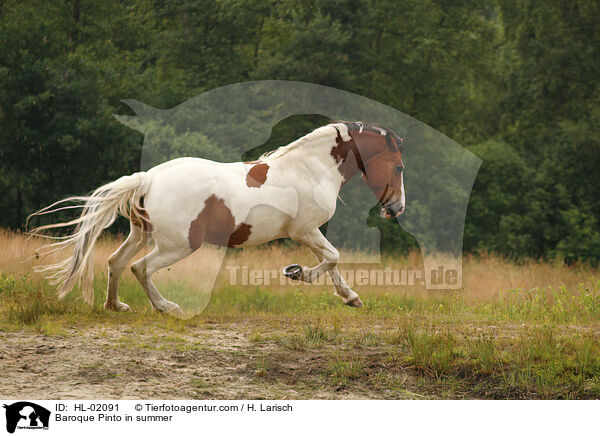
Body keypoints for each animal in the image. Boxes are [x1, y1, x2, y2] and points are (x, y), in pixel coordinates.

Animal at [29, 120, 404, 314]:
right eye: (399, 167)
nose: (396, 208)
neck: (311, 168)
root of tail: (149, 178)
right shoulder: (305, 230)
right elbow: (332, 258)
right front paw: (297, 272)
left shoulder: (309, 232)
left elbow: (332, 262)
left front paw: (351, 298)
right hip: (178, 245)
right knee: (140, 268)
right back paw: (167, 307)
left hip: (141, 234)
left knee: (116, 262)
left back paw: (116, 306)